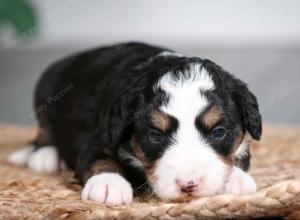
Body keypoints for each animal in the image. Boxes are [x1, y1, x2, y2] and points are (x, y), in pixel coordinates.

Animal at [8, 42, 262, 205]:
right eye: (155, 135)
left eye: (218, 132)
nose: (188, 185)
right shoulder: (101, 137)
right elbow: (100, 160)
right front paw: (108, 184)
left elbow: (238, 157)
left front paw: (236, 180)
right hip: (45, 94)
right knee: (45, 131)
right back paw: (46, 156)